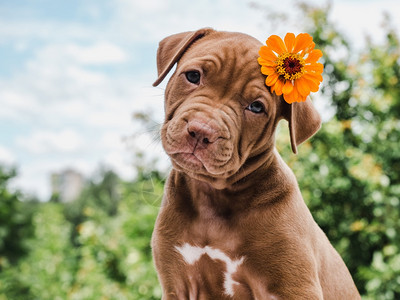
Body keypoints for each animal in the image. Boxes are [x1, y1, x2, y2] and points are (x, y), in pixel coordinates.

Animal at [152, 28, 360, 300]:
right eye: (193, 76)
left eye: (256, 107)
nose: (201, 131)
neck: (212, 197)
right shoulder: (177, 284)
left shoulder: (293, 287)